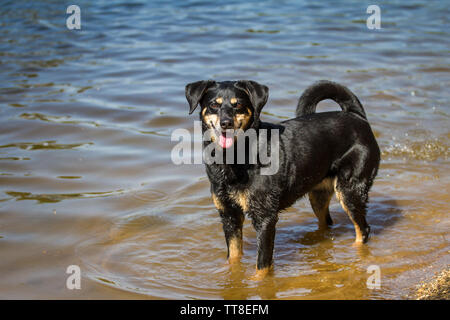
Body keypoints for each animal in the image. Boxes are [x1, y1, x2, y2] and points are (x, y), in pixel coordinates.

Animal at [185, 80, 380, 280]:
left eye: (237, 104)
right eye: (214, 105)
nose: (226, 123)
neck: (235, 158)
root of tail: (357, 116)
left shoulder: (265, 218)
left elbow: (262, 266)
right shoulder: (229, 215)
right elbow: (233, 256)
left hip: (350, 190)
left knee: (363, 229)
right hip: (318, 195)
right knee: (326, 223)